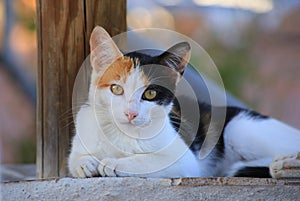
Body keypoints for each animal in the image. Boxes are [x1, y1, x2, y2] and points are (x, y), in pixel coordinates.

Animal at [68, 25, 300, 178]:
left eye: (150, 94)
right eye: (116, 89)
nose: (131, 113)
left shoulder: (185, 162)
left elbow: (150, 161)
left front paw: (114, 163)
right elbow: (73, 160)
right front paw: (85, 163)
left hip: (239, 127)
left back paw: (282, 164)